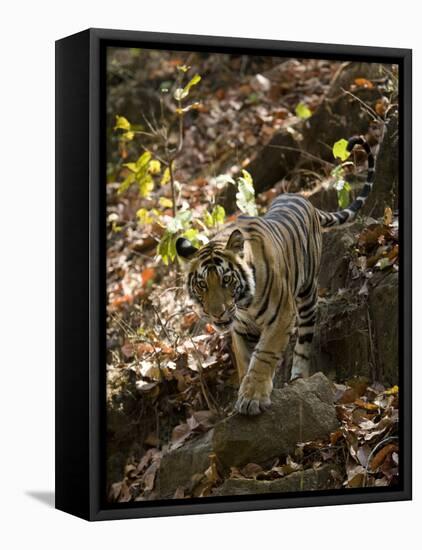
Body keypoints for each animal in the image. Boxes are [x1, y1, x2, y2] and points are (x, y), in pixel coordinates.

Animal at [176, 136, 376, 416]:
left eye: (226, 280)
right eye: (202, 284)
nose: (216, 314)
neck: (243, 304)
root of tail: (303, 197)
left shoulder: (282, 316)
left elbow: (263, 355)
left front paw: (252, 397)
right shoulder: (240, 329)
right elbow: (245, 361)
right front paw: (246, 389)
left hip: (306, 297)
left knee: (304, 341)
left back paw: (298, 377)